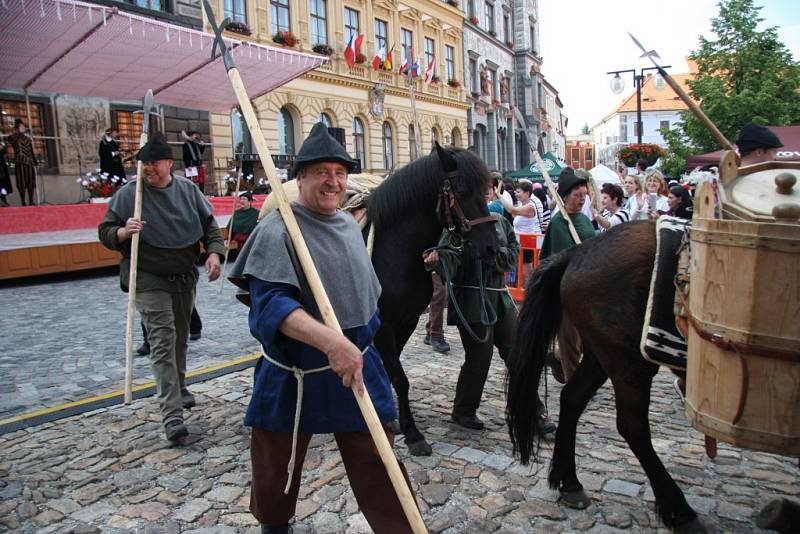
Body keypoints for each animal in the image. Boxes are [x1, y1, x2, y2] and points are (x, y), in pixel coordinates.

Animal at [368, 146, 496, 456]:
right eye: (461, 190)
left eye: (485, 190)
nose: (491, 248)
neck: (393, 252)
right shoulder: (383, 326)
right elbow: (399, 377)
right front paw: (413, 434)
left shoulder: (407, 321)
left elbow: (392, 371)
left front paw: (396, 421)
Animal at [506, 220, 708, 532]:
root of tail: (578, 251)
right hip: (627, 360)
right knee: (632, 427)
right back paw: (679, 510)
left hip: (602, 354)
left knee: (573, 398)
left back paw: (570, 483)